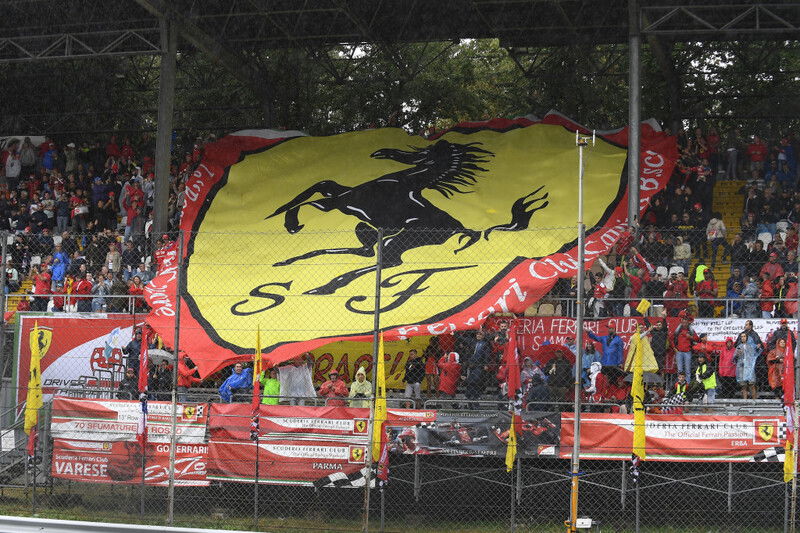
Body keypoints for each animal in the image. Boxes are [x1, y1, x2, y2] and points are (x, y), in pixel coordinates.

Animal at [266, 138, 548, 296]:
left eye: (431, 149)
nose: (381, 152)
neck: (408, 180)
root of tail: (461, 226)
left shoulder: (341, 201)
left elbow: (312, 200)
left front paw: (291, 223)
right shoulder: (344, 200)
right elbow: (317, 186)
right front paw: (277, 215)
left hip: (400, 238)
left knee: (386, 260)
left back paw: (324, 286)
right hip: (373, 231)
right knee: (369, 252)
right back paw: (294, 265)